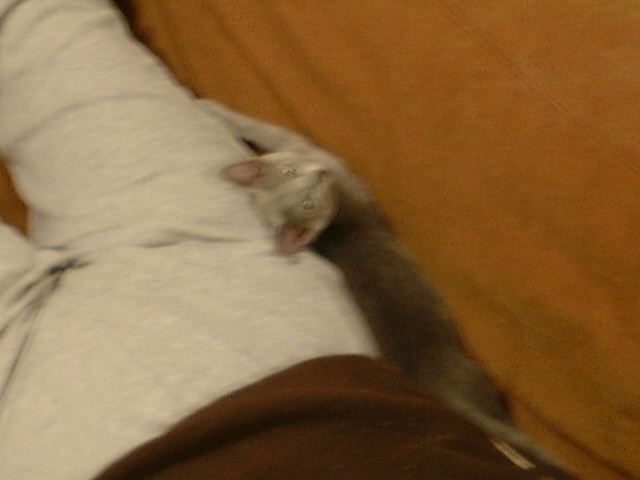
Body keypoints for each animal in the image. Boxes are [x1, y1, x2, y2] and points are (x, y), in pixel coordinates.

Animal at [199, 98, 556, 466]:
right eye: (307, 202)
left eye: (291, 174)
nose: (320, 174)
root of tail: (437, 392)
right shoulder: (332, 163)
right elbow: (268, 129)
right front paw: (214, 108)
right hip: (477, 377)